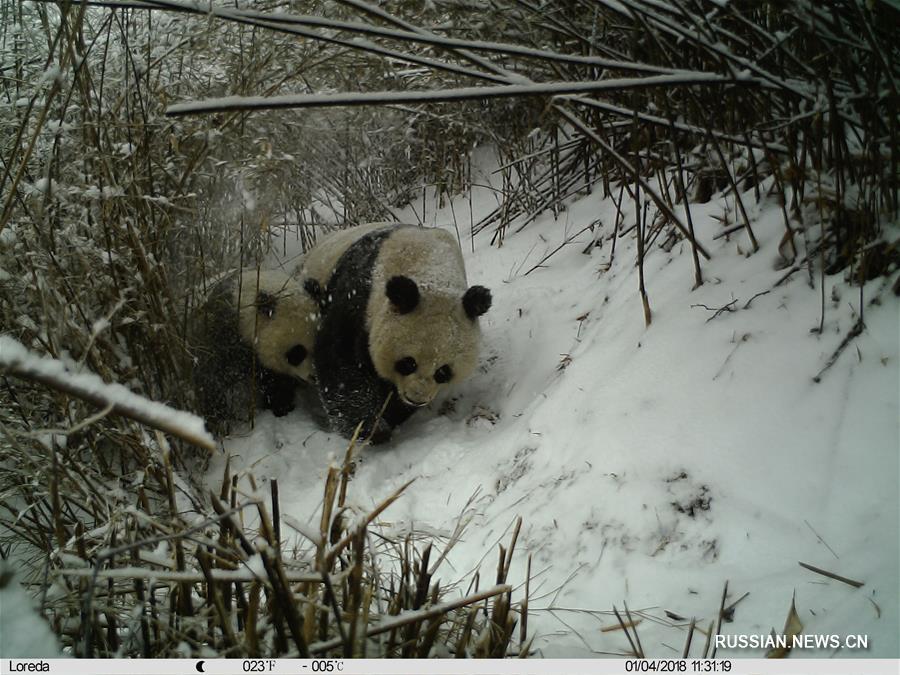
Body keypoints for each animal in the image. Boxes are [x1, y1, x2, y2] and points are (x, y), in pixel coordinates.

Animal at [192, 268, 318, 428]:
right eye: (297, 352)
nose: (314, 376)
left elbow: (278, 384)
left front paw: (282, 407)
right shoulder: (221, 337)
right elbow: (213, 380)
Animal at [308, 226, 492, 444]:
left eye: (443, 372)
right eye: (408, 363)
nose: (416, 398)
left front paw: (389, 415)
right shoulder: (357, 299)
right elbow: (341, 362)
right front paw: (371, 429)